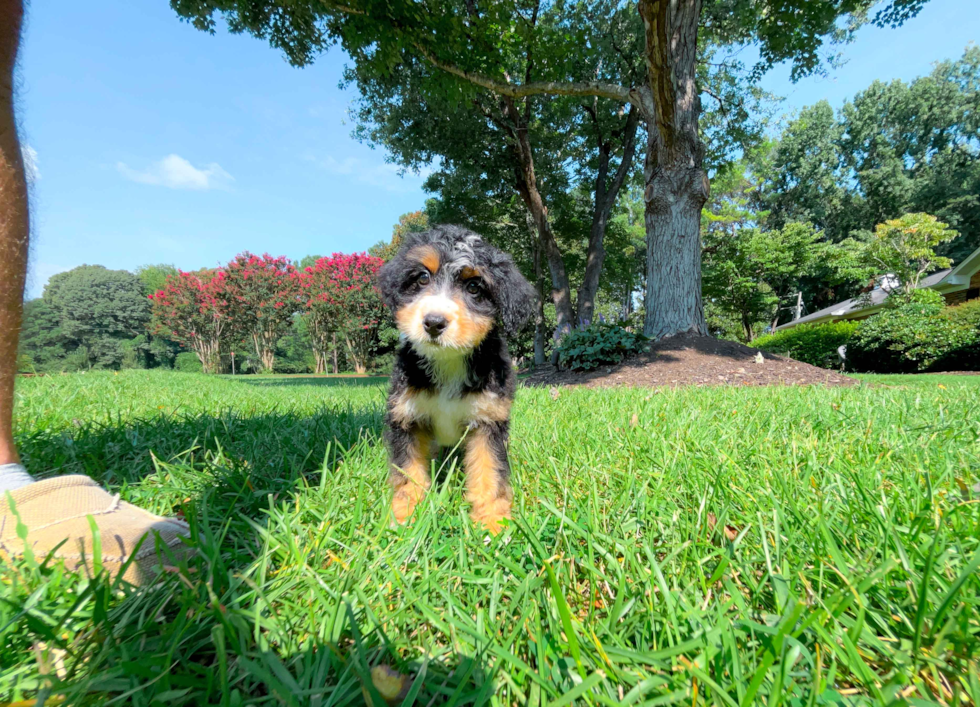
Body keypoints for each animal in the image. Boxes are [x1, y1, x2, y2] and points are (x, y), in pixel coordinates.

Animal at [378, 224, 540, 532]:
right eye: (422, 277)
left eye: (474, 287)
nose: (433, 322)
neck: (449, 362)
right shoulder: (406, 416)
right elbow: (408, 473)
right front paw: (405, 517)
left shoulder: (488, 420)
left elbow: (490, 472)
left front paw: (492, 522)